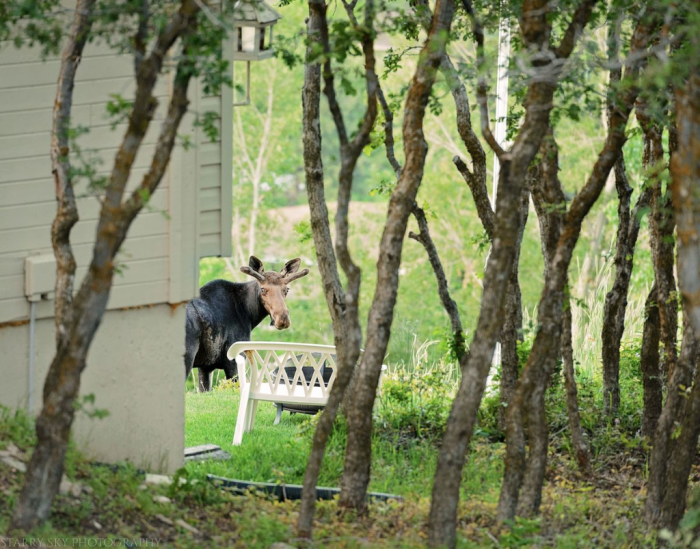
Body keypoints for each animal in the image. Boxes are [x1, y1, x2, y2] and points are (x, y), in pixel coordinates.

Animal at [184, 256, 310, 392]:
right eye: (263, 289)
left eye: (286, 289)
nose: (283, 319)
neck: (249, 314)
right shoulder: (234, 359)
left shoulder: (205, 367)